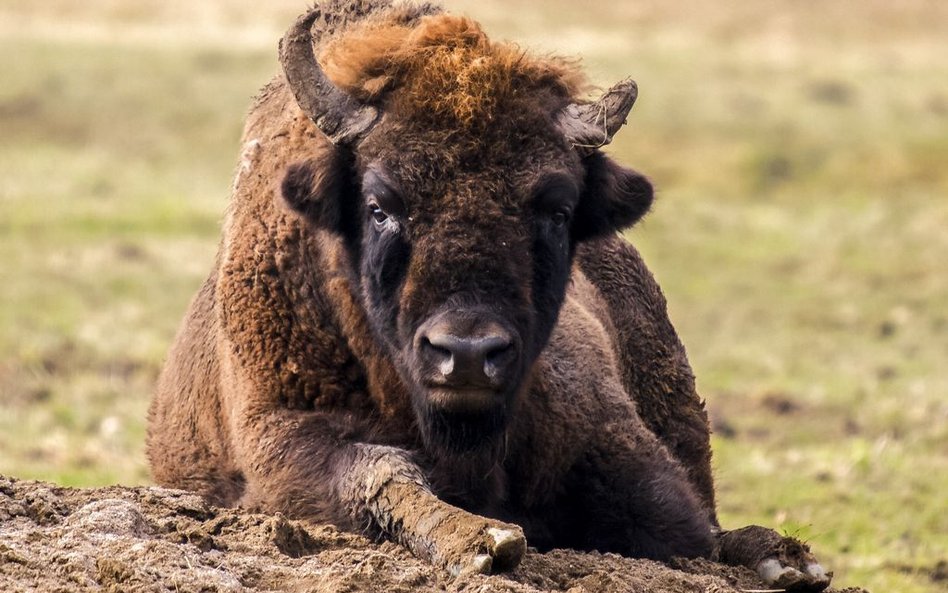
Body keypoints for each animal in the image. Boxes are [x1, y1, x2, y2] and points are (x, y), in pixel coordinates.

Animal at [146, 1, 828, 588]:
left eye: (556, 209)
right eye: (379, 205)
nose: (468, 354)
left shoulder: (613, 440)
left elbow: (679, 526)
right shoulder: (282, 439)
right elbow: (381, 471)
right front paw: (482, 540)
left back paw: (787, 559)